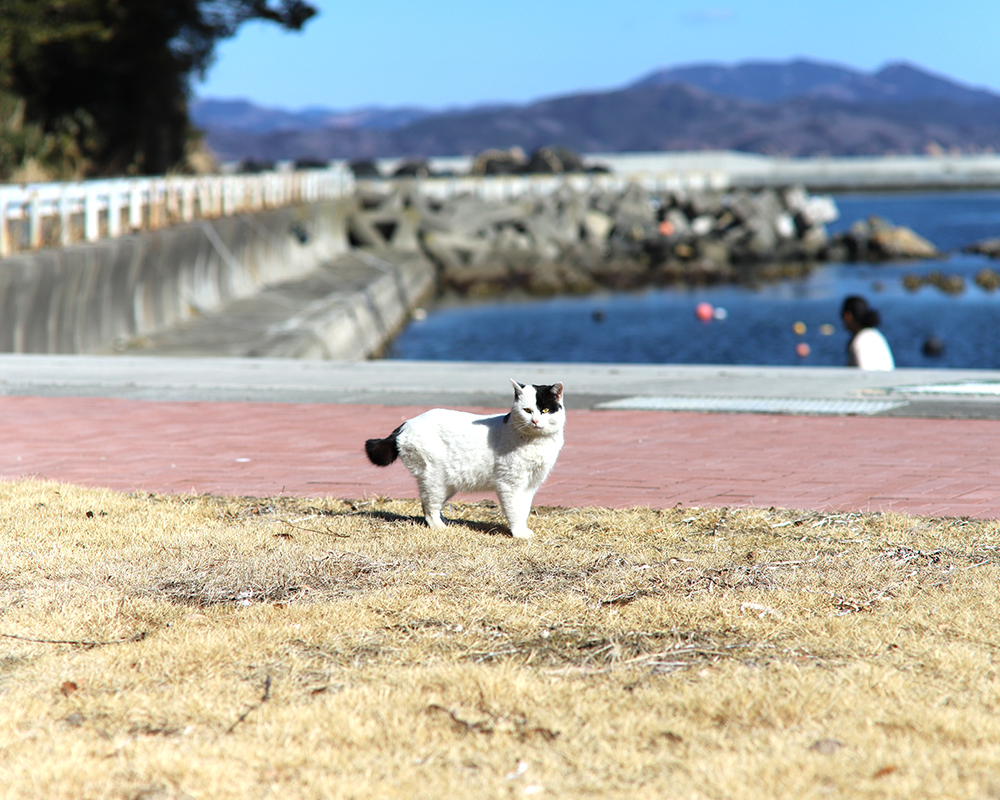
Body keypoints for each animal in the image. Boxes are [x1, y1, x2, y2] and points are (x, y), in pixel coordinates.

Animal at [364, 380, 564, 540]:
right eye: (527, 411)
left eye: (545, 410)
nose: (535, 421)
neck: (536, 442)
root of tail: (407, 423)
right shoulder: (510, 484)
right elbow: (515, 510)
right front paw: (519, 533)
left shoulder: (531, 484)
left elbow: (524, 509)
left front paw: (523, 530)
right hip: (435, 479)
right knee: (429, 507)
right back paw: (441, 527)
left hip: (447, 483)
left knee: (427, 503)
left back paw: (446, 521)